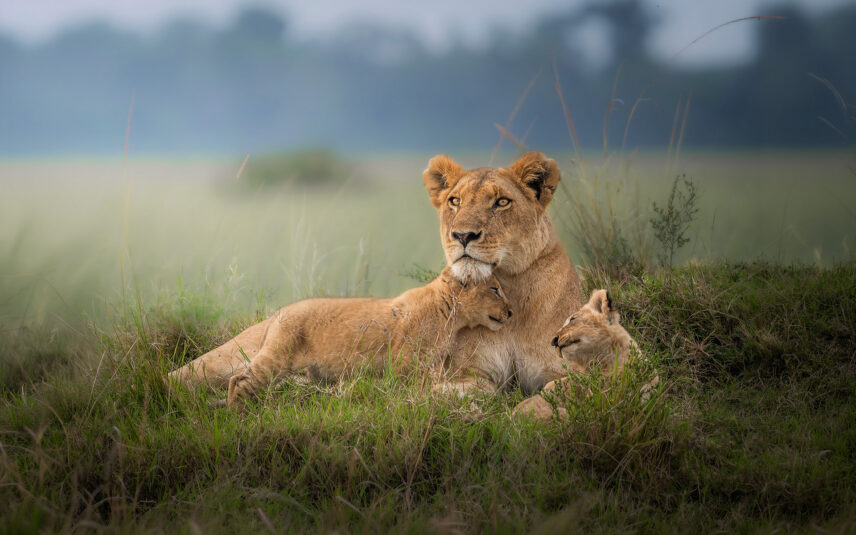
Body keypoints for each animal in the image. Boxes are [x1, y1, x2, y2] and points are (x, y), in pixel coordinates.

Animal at [217, 267, 512, 407]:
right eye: (495, 289)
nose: (511, 312)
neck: (449, 312)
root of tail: (277, 314)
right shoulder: (406, 366)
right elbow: (415, 389)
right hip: (279, 355)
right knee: (239, 380)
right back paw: (238, 414)